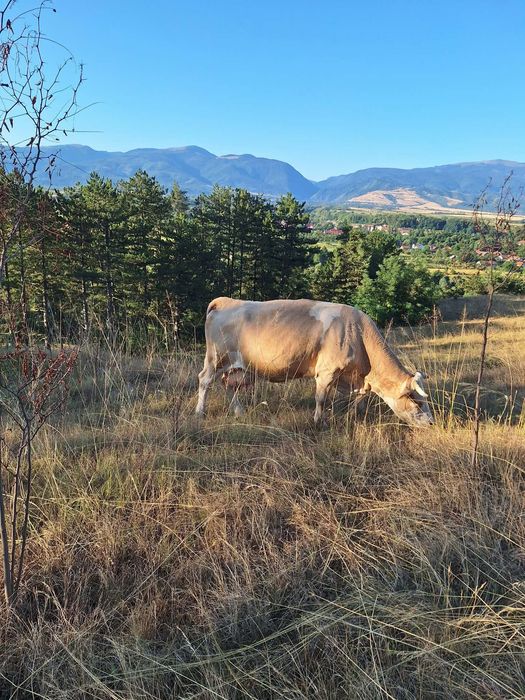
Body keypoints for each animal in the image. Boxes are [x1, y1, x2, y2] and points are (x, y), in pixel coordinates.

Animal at [195, 297, 434, 427]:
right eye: (415, 401)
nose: (432, 422)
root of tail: (226, 301)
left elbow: (359, 400)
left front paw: (354, 415)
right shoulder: (327, 371)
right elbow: (321, 398)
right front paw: (319, 421)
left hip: (235, 367)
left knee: (227, 385)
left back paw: (238, 411)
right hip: (216, 358)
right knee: (205, 380)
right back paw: (199, 412)